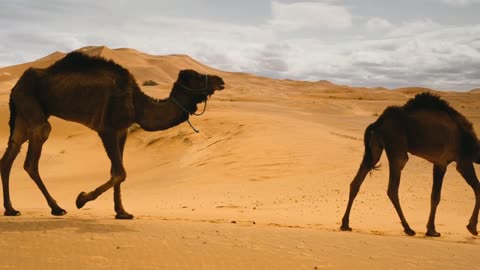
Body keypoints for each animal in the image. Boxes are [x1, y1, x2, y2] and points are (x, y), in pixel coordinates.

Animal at [0, 52, 225, 219]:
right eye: (197, 77)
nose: (220, 80)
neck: (137, 104)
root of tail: (16, 85)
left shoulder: (122, 130)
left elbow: (116, 171)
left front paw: (122, 212)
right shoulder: (106, 129)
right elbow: (120, 172)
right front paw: (81, 199)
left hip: (22, 115)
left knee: (9, 155)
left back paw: (11, 209)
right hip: (32, 108)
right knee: (32, 157)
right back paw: (57, 208)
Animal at [340, 93, 480, 236]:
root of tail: (378, 122)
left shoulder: (438, 163)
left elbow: (434, 196)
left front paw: (431, 229)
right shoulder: (460, 161)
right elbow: (475, 189)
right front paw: (471, 227)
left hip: (375, 148)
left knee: (356, 182)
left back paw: (345, 224)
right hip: (397, 149)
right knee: (392, 188)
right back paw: (408, 228)